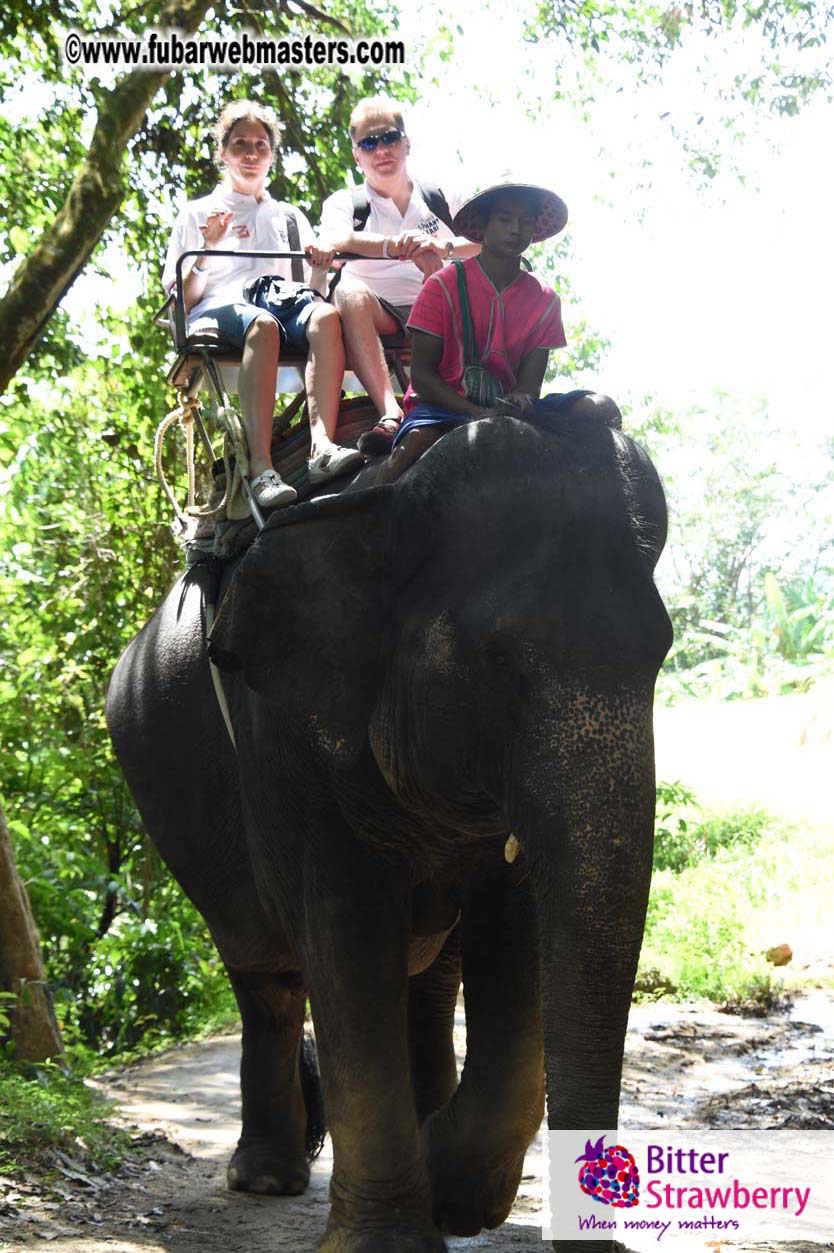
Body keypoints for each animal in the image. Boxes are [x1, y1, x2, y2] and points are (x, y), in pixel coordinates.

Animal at [106, 400, 672, 1253]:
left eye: (661, 651)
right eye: (490, 663)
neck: (389, 502)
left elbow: (520, 928)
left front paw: (456, 1196)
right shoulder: (283, 731)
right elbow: (345, 932)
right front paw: (396, 1233)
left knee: (426, 974)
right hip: (173, 803)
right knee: (267, 974)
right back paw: (265, 1178)